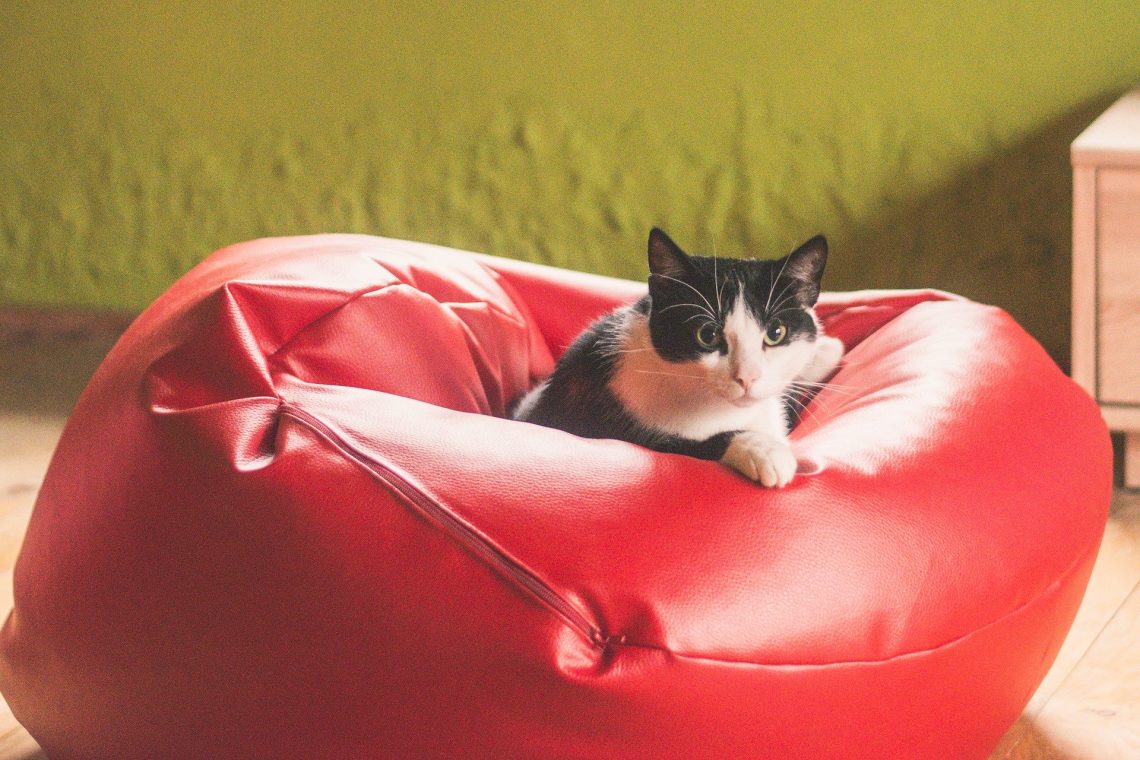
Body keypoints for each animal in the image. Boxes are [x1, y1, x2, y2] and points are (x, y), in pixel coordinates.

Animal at [513, 225, 843, 487]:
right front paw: (765, 451)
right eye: (707, 335)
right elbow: (686, 445)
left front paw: (825, 351)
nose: (747, 377)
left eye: (776, 333)